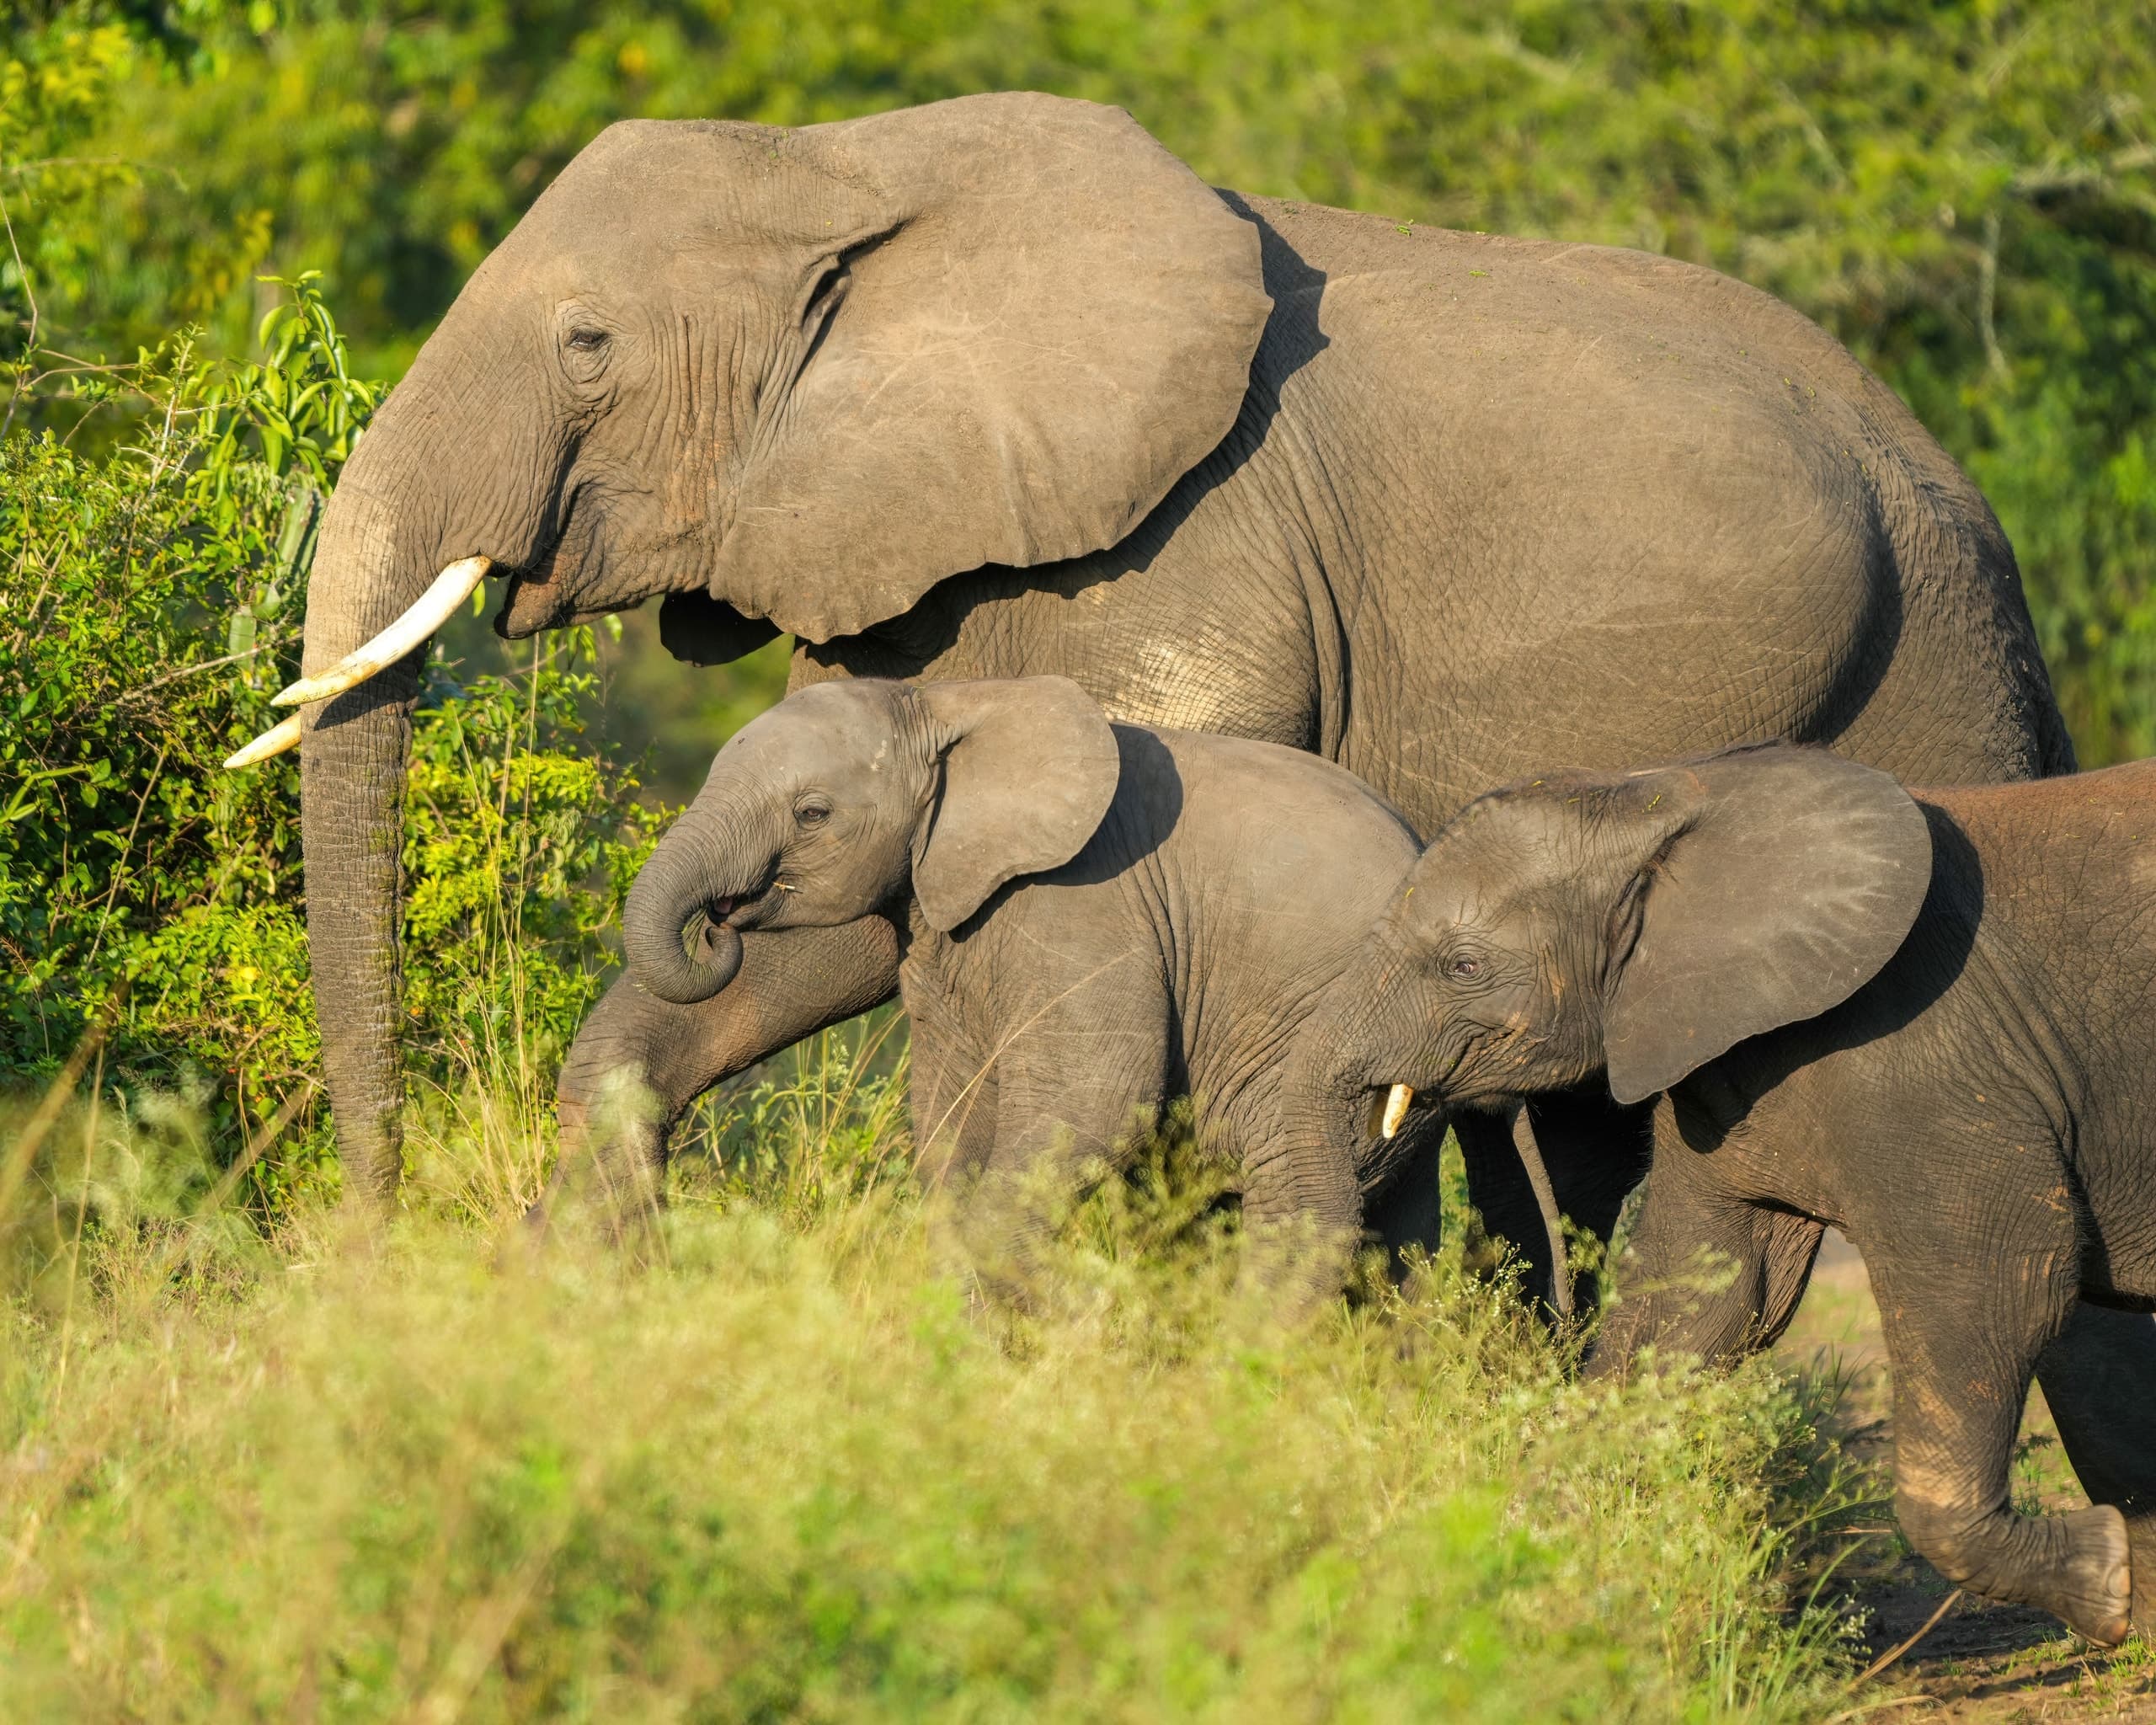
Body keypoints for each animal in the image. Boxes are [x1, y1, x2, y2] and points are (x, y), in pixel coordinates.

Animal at [615, 673, 1448, 1297]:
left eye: (812, 813)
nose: (720, 922)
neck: (944, 704)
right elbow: (950, 1115)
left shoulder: (1085, 907)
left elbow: (1093, 1099)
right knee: (1402, 1231)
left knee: (1298, 1196)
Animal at [1280, 741, 2156, 1642]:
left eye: (1464, 966)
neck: (1672, 798)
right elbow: (1705, 1301)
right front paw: (1529, 1579)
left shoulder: (1931, 1063)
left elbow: (2002, 1284)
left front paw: (2108, 1580)